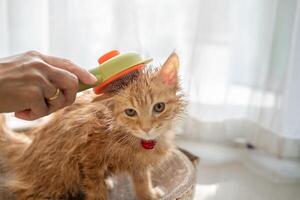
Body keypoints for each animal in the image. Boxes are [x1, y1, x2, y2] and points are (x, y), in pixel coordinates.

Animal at [0, 52, 185, 199]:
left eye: (159, 107)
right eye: (130, 112)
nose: (146, 129)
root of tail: (27, 149)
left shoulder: (139, 163)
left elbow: (142, 179)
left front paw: (148, 194)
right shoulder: (89, 159)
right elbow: (95, 188)